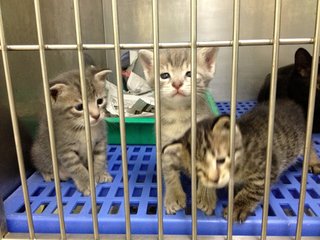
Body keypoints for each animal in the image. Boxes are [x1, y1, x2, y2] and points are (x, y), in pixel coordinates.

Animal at [31, 67, 113, 195]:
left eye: (99, 101)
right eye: (79, 107)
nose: (96, 115)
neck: (84, 129)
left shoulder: (100, 140)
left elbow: (100, 157)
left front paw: (100, 172)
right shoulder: (65, 149)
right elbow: (76, 167)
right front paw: (86, 183)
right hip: (39, 152)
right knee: (41, 164)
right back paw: (48, 174)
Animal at [139, 47, 219, 214]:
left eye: (189, 73)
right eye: (164, 75)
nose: (177, 83)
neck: (180, 115)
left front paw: (206, 197)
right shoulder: (165, 145)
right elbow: (169, 172)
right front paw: (173, 196)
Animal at [164, 100, 320, 221]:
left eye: (220, 160)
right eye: (199, 170)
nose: (214, 179)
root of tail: (290, 103)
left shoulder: (267, 166)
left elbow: (253, 189)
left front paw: (238, 206)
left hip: (301, 137)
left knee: (310, 146)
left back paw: (313, 161)